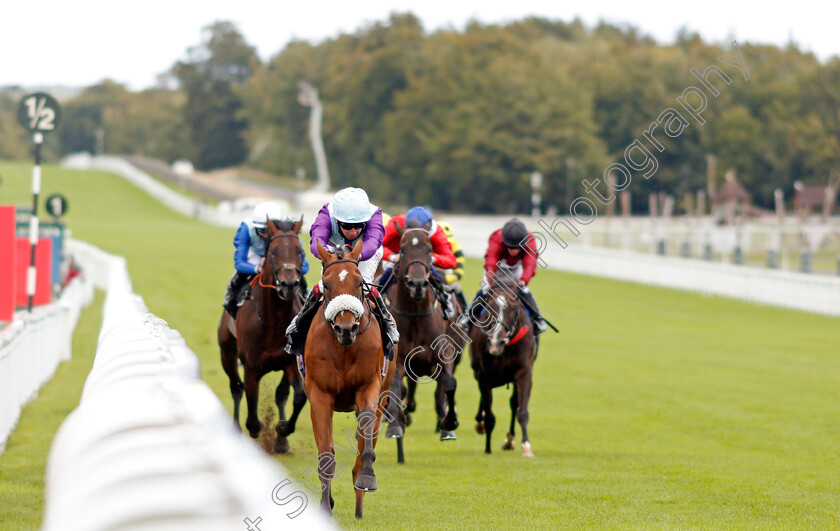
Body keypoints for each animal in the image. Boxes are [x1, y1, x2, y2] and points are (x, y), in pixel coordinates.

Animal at [218, 218, 306, 456]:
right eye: (273, 252)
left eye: (300, 251)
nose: (289, 284)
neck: (273, 321)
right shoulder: (251, 367)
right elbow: (251, 406)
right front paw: (256, 428)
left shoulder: (291, 363)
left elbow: (297, 396)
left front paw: (282, 431)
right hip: (227, 352)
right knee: (236, 387)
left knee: (281, 394)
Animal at [306, 240, 398, 520]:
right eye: (326, 284)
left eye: (359, 282)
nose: (345, 328)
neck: (344, 347)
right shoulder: (319, 396)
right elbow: (326, 456)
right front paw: (325, 508)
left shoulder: (369, 387)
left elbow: (365, 440)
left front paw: (367, 477)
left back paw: (359, 506)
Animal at [382, 222, 460, 464]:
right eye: (403, 249)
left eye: (429, 249)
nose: (417, 284)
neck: (415, 313)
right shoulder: (397, 360)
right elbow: (396, 388)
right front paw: (395, 427)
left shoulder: (443, 354)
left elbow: (449, 383)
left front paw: (450, 424)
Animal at [470, 274, 540, 458]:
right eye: (490, 305)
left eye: (513, 307)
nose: (495, 342)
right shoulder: (484, 374)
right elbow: (489, 415)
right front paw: (487, 448)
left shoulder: (523, 372)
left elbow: (521, 411)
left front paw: (526, 447)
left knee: (514, 403)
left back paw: (509, 440)